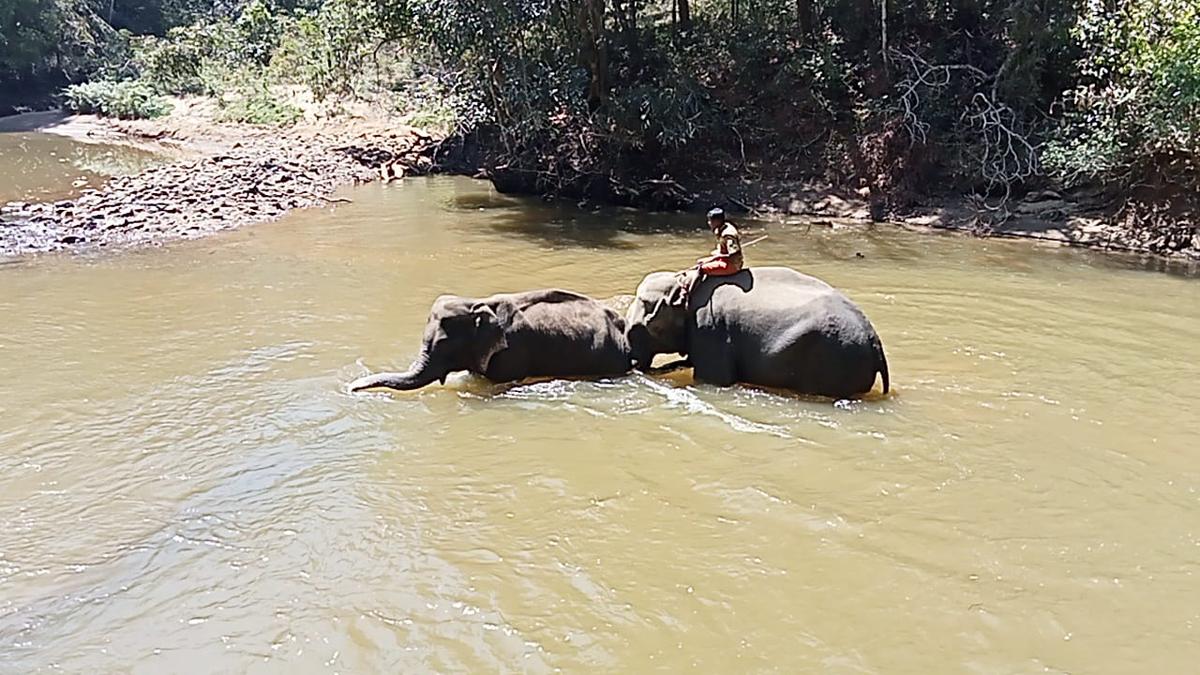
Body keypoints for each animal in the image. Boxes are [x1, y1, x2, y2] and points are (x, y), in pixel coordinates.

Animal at [624, 265, 888, 396]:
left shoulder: (709, 328)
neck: (686, 282)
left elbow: (714, 379)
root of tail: (875, 341)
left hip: (835, 360)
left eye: (638, 328)